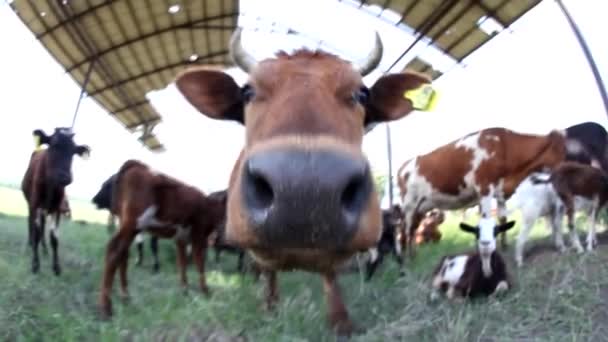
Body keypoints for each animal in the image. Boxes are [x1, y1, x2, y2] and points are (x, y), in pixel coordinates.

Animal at [21, 128, 89, 276]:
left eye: (74, 151)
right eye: (53, 145)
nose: (64, 177)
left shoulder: (57, 209)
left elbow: (54, 238)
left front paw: (56, 267)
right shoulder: (36, 205)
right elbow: (36, 232)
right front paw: (35, 265)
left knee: (42, 228)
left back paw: (44, 249)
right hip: (31, 205)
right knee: (31, 223)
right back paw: (30, 245)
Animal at [98, 160, 227, 318]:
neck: (209, 206)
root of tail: (137, 164)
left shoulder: (181, 239)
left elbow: (182, 262)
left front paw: (185, 289)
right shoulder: (199, 235)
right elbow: (199, 263)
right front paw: (205, 290)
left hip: (130, 226)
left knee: (123, 255)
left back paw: (125, 297)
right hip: (132, 222)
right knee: (114, 250)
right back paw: (106, 307)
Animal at [175, 28, 432, 338]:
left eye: (361, 94)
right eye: (248, 92)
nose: (306, 191)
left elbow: (331, 272)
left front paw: (341, 321)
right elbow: (267, 268)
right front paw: (270, 307)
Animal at [396, 127, 568, 260]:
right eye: (561, 149)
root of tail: (403, 166)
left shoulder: (500, 192)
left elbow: (502, 218)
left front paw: (504, 246)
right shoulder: (484, 189)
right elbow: (486, 219)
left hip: (421, 208)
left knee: (412, 230)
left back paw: (413, 255)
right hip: (409, 204)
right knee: (405, 230)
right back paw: (407, 259)